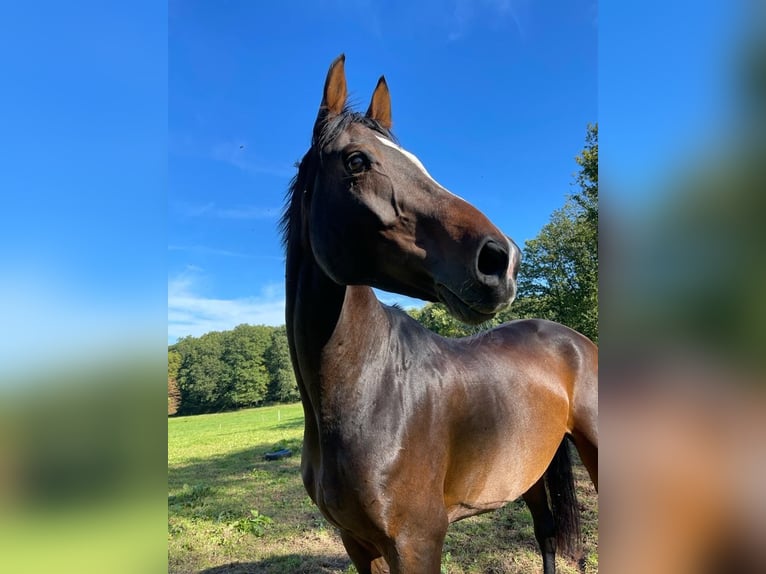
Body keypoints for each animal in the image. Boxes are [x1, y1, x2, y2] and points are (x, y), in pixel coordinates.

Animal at [282, 55, 600, 574]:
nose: (502, 259)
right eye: (356, 160)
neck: (371, 388)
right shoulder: (358, 544)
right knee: (547, 533)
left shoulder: (417, 543)